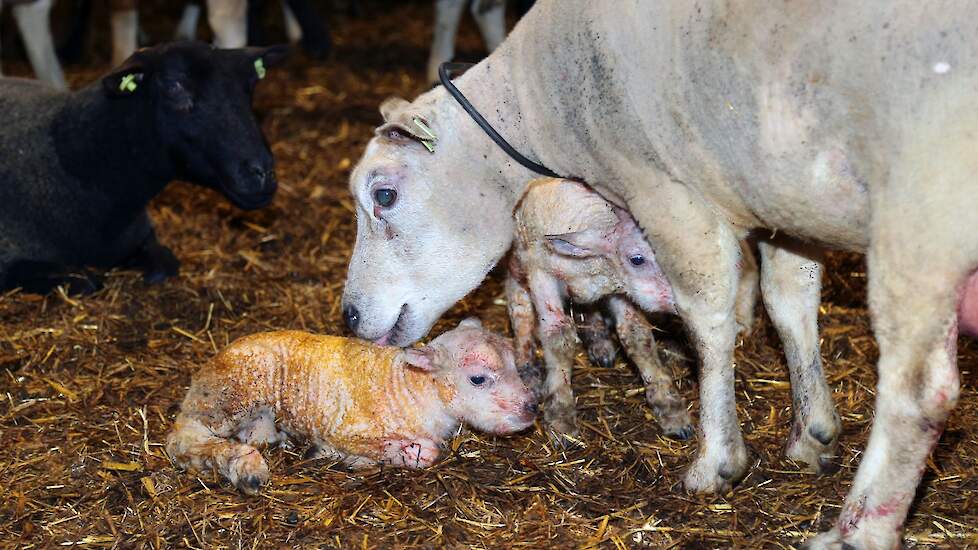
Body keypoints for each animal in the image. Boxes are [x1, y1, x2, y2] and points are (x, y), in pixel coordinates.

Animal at [166, 320, 532, 496]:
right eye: (478, 378)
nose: (531, 408)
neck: (413, 388)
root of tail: (203, 374)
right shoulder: (346, 429)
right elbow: (425, 453)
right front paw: (341, 457)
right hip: (231, 395)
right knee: (183, 437)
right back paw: (247, 468)